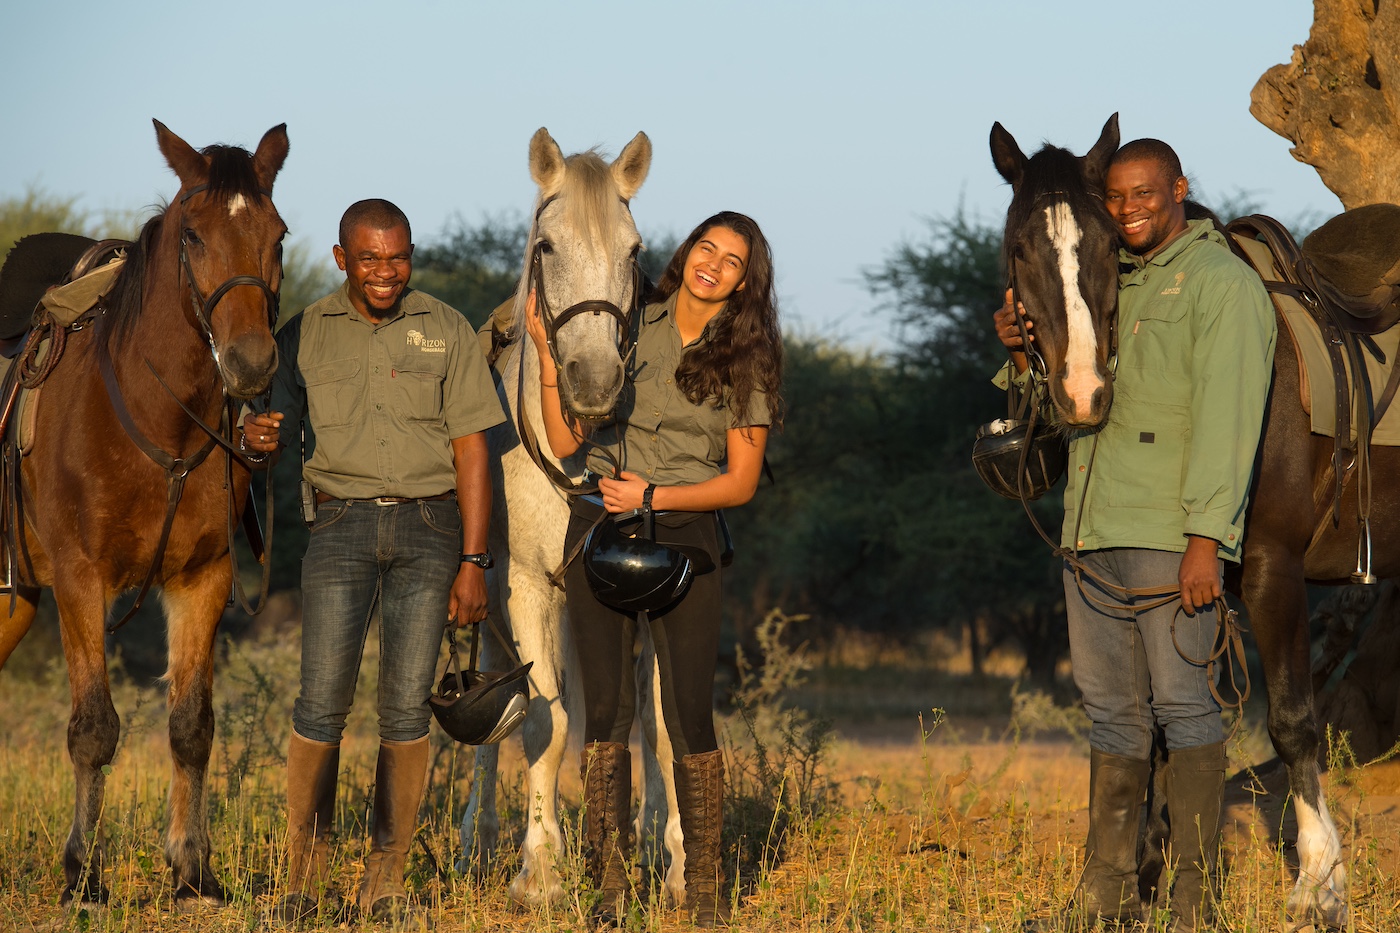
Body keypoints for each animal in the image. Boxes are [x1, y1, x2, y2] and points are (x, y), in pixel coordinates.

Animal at [0, 119, 288, 902]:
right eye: (192, 235)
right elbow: (93, 728)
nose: (251, 363)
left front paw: (193, 869)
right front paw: (81, 872)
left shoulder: (202, 580)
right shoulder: (80, 581)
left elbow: (192, 726)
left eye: (278, 234)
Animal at [459, 128, 688, 902]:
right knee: (505, 705)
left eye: (634, 249)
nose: (595, 381)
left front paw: (672, 861)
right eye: (547, 245)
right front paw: (540, 869)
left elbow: (659, 725)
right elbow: (541, 723)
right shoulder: (526, 586)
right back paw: (478, 837)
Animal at [996, 116, 1366, 924]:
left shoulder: (1270, 571)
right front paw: (1141, 877)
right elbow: (1161, 732)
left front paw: (1318, 884)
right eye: (1019, 246)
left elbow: (1291, 720)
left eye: (1109, 242)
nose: (1083, 394)